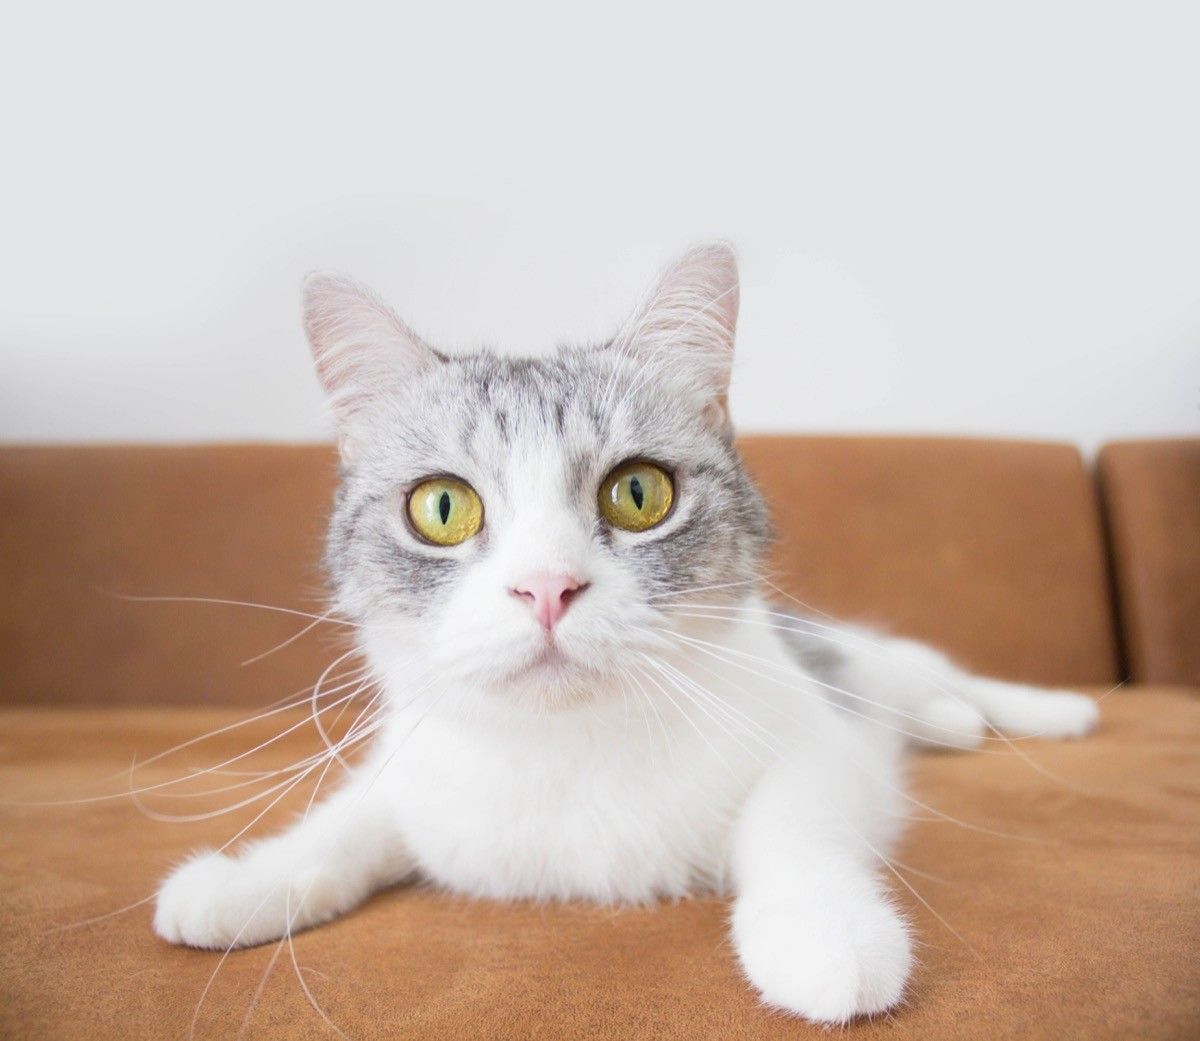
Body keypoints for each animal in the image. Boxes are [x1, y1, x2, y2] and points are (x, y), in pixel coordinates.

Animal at [152, 243, 1099, 1026]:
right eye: (443, 507)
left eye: (638, 493)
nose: (546, 586)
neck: (570, 753)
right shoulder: (415, 771)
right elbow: (345, 823)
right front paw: (244, 882)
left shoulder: (823, 744)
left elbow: (794, 818)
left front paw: (825, 930)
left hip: (868, 663)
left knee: (943, 677)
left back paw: (1042, 713)